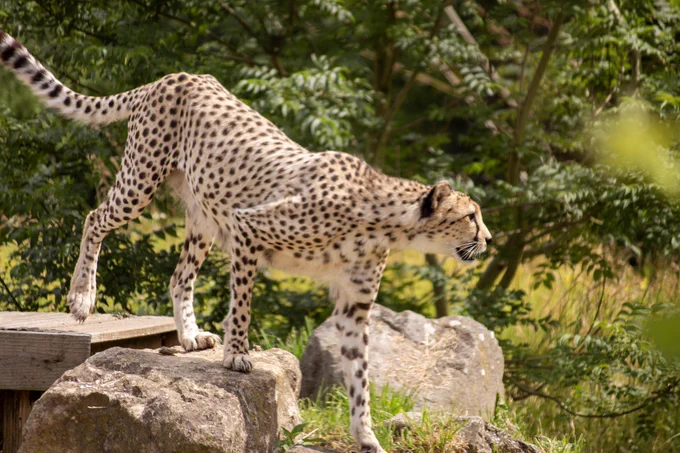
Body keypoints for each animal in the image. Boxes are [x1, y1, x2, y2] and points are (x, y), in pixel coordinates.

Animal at [0, 30, 492, 453]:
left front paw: (367, 437)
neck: (383, 221)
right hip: (141, 181)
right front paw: (237, 355)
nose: (487, 239)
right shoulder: (247, 229)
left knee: (179, 276)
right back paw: (82, 297)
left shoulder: (353, 306)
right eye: (470, 216)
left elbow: (360, 379)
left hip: (201, 216)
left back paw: (189, 336)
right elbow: (242, 305)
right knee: (94, 218)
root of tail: (177, 76)